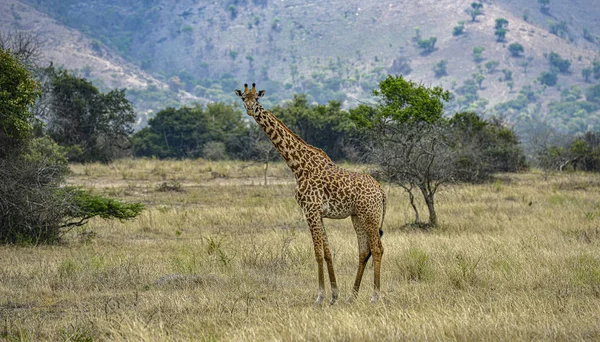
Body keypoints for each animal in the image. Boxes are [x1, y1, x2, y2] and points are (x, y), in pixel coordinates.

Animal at [234, 84, 384, 304]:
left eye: (257, 99)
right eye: (243, 98)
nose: (250, 109)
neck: (298, 166)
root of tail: (381, 191)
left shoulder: (310, 210)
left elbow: (318, 252)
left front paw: (320, 296)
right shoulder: (318, 213)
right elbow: (328, 252)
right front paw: (334, 295)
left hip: (371, 215)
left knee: (377, 249)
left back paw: (375, 296)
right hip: (357, 216)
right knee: (364, 250)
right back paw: (352, 296)